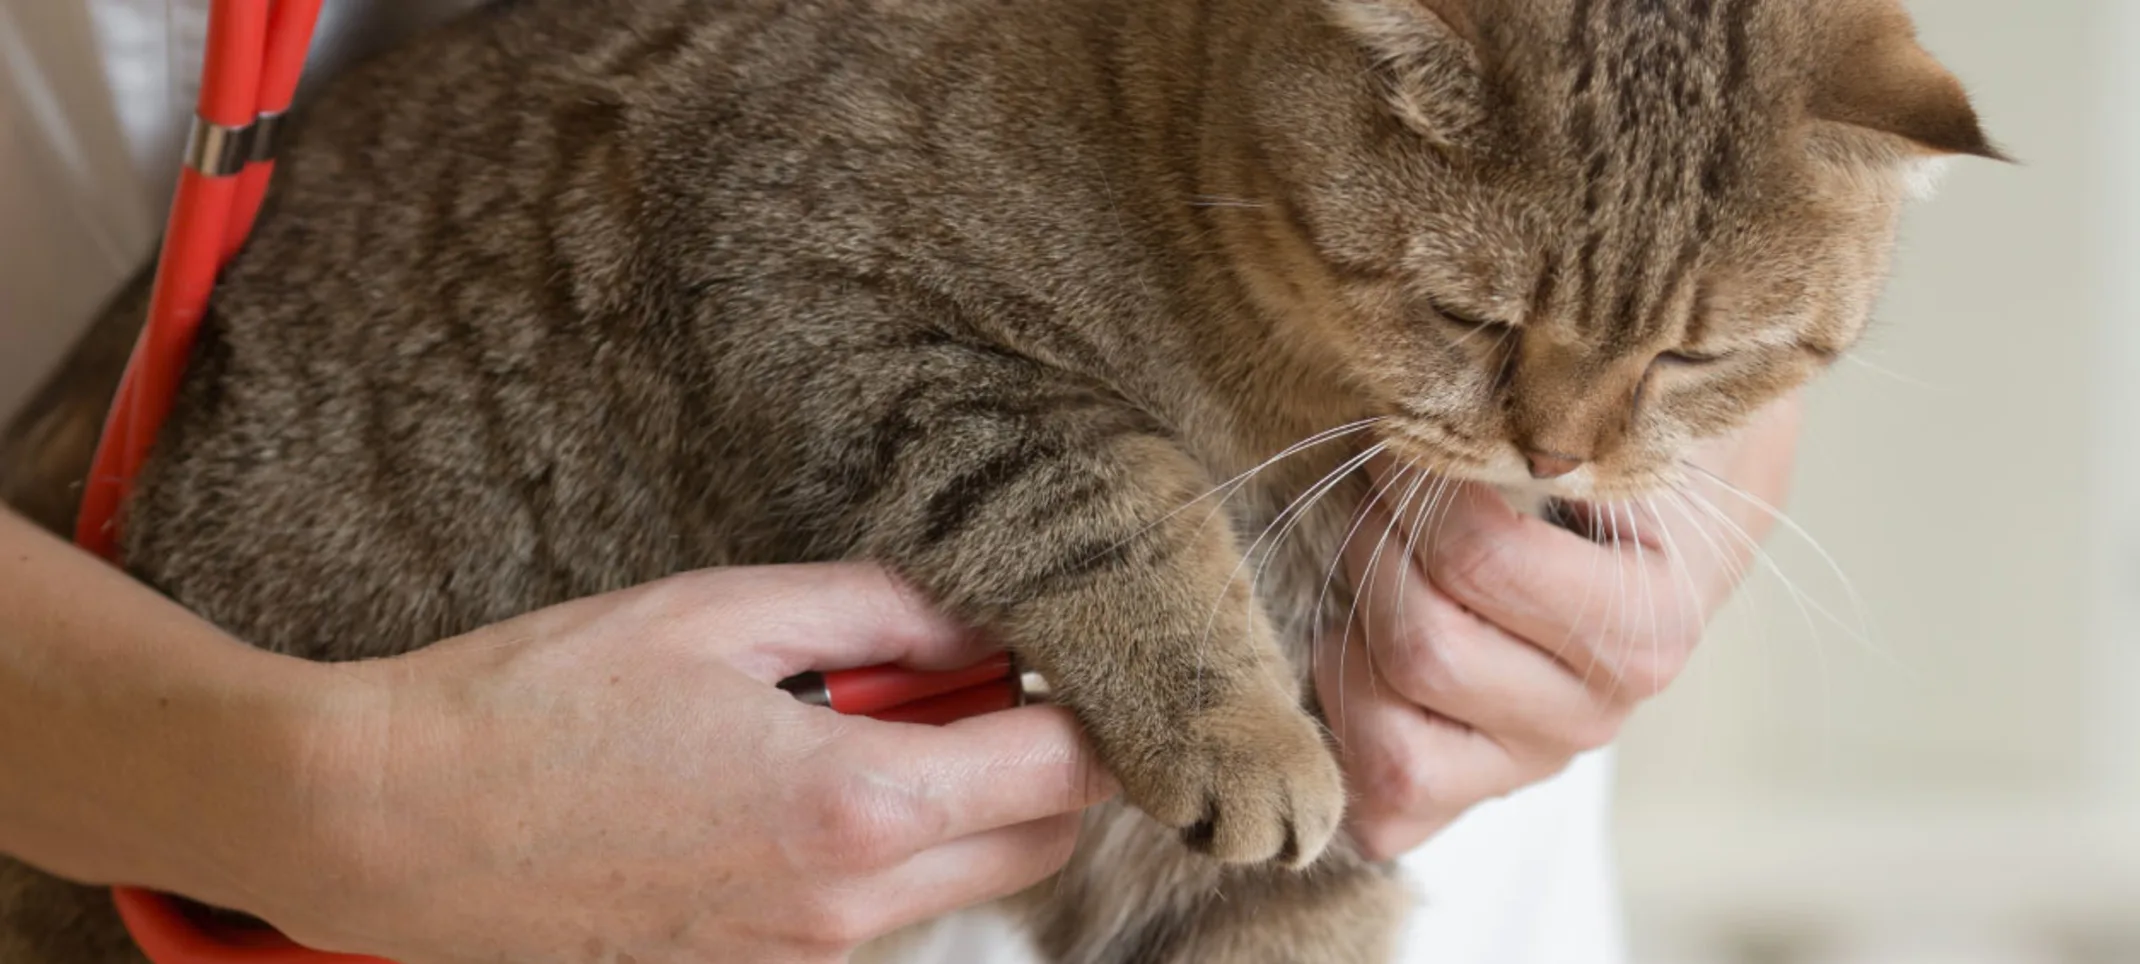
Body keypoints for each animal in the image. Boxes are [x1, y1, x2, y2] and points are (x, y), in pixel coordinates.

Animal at [0, 0, 1994, 959]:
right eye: (1469, 311)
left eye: (1698, 356)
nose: (1559, 447)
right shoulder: (836, 300)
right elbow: (1109, 492)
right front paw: (1237, 721)